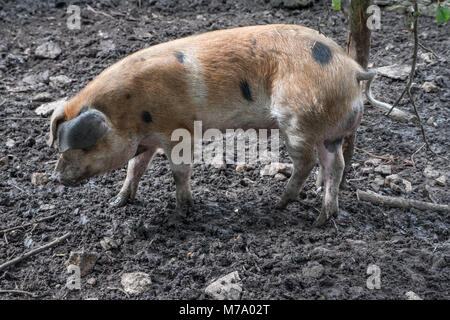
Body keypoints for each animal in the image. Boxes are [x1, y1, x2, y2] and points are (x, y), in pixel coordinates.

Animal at [46, 23, 390, 226]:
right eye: (60, 146)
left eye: (84, 146)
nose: (56, 177)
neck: (129, 113)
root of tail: (353, 69)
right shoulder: (147, 141)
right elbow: (135, 168)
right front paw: (118, 202)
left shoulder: (179, 132)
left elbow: (179, 172)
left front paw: (183, 211)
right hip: (330, 131)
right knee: (335, 165)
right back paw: (323, 217)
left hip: (297, 121)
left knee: (306, 163)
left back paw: (277, 205)